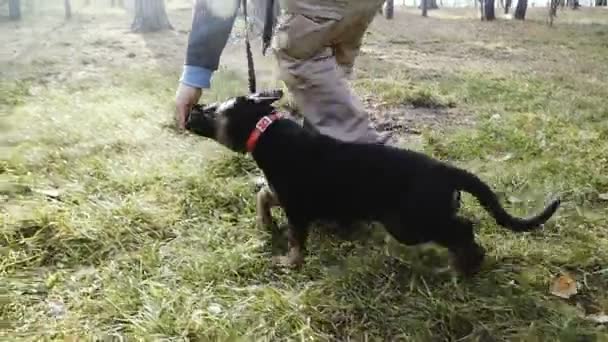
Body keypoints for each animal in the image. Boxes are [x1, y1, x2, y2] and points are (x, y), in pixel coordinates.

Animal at [185, 90, 560, 276]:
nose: (189, 112)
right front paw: (265, 224)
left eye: (212, 111)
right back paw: (464, 264)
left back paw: (464, 267)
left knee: (463, 229)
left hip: (411, 222)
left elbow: (295, 240)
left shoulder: (298, 210)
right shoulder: (289, 197)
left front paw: (289, 263)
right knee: (461, 227)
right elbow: (263, 195)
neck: (267, 133)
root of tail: (446, 170)